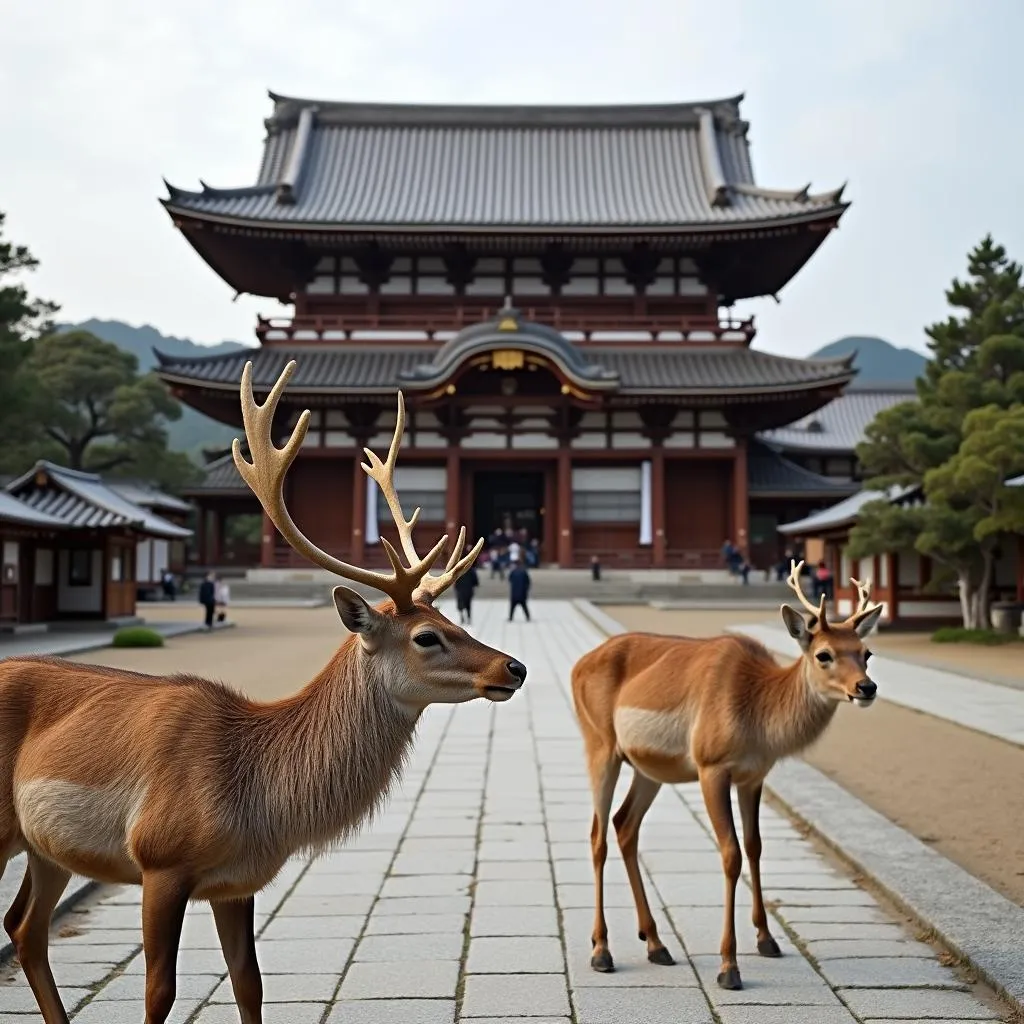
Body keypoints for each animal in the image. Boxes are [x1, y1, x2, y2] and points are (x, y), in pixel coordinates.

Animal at [0, 362, 528, 1024]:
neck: (255, 796)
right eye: (427, 636)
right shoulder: (159, 860)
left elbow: (249, 984)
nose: (514, 667)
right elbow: (159, 990)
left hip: (45, 847)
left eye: (454, 620)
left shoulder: (239, 881)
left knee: (23, 927)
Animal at [573, 565, 884, 987]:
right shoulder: (711, 766)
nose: (866, 687)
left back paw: (656, 943)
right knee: (597, 835)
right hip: (600, 744)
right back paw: (602, 950)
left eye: (866, 652)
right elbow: (730, 853)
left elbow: (754, 846)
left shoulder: (753, 776)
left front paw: (768, 940)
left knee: (625, 825)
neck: (759, 713)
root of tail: (577, 666)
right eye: (824, 654)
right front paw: (728, 966)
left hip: (649, 768)